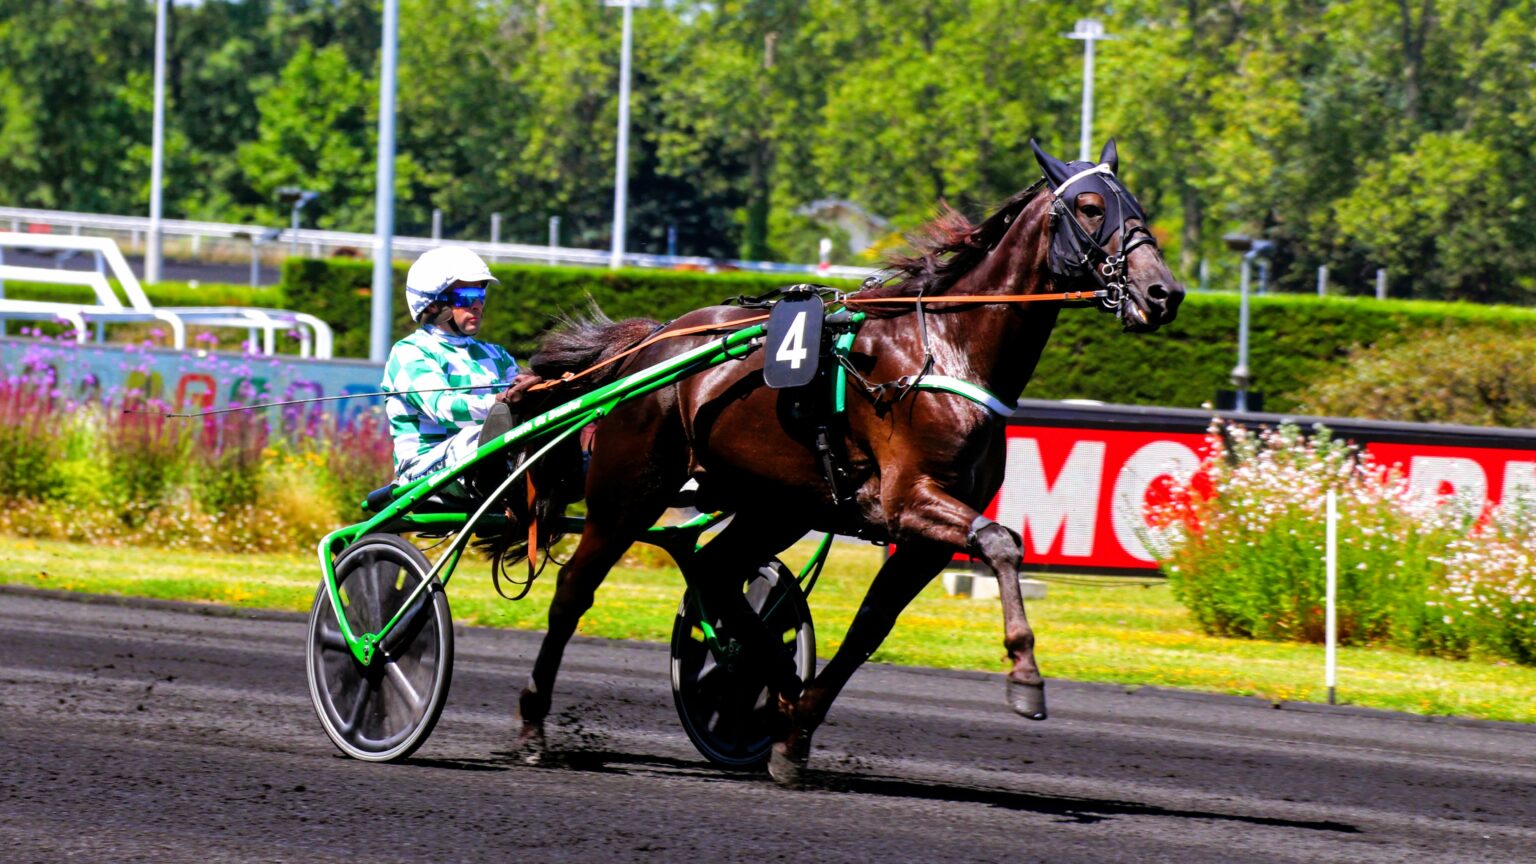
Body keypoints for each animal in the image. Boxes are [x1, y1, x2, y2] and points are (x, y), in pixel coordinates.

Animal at [510, 138, 1184, 785]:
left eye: (1139, 207)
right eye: (1091, 207)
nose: (1165, 293)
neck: (947, 350)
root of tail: (649, 344)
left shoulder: (924, 536)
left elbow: (869, 628)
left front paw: (794, 734)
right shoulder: (910, 499)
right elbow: (1001, 543)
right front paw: (1024, 674)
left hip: (773, 505)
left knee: (715, 570)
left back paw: (772, 681)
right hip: (631, 491)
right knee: (575, 590)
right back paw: (534, 724)